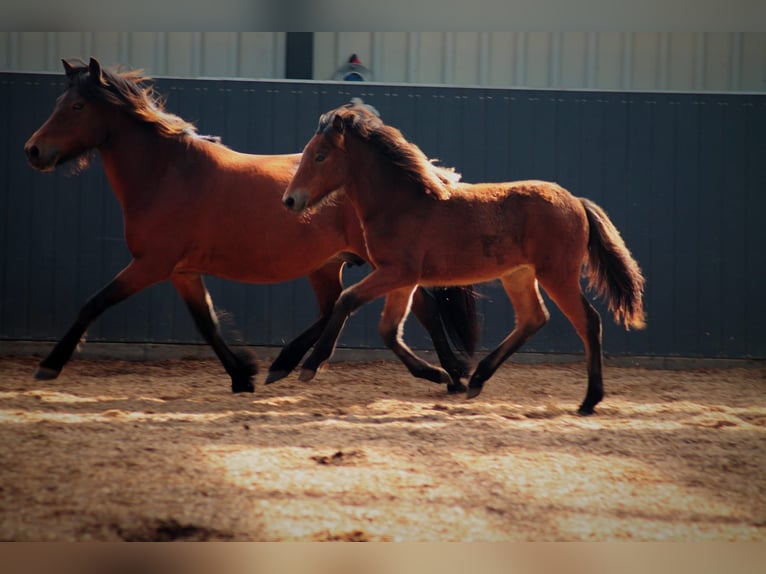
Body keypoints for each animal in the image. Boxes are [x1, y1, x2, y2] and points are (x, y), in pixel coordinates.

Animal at [23, 57, 480, 393]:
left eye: (77, 106)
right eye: (59, 103)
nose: (33, 150)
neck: (167, 174)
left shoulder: (151, 264)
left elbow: (94, 303)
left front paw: (50, 365)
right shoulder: (182, 271)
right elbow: (206, 322)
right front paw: (242, 374)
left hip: (383, 263)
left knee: (418, 308)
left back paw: (452, 374)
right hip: (328, 265)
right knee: (335, 306)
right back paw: (288, 364)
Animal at [282, 101, 646, 415]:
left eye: (320, 156)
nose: (290, 200)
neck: (400, 203)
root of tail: (577, 202)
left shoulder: (396, 272)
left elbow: (347, 300)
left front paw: (310, 365)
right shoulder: (403, 279)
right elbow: (389, 330)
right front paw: (442, 374)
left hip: (557, 274)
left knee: (588, 322)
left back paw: (589, 400)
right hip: (518, 275)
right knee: (533, 318)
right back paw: (478, 379)